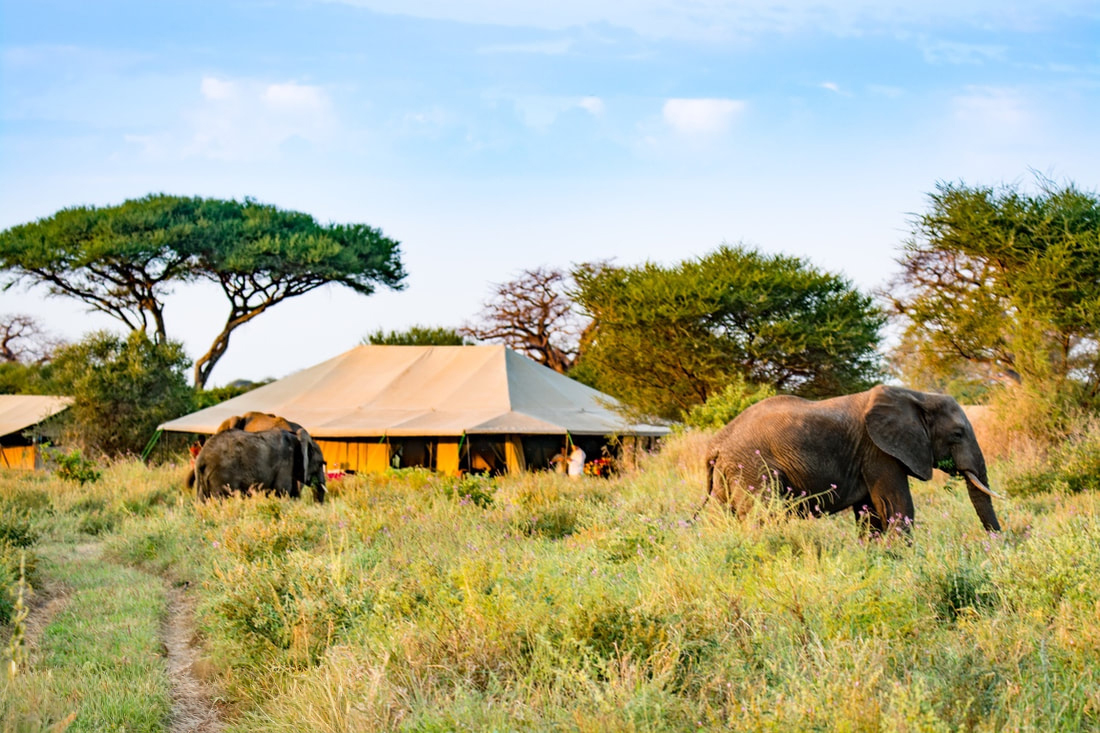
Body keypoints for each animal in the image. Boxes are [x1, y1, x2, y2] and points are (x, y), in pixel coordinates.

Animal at [704, 385, 1002, 534]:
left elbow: (870, 512)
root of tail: (716, 444)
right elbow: (896, 506)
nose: (996, 540)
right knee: (765, 516)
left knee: (722, 518)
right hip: (753, 468)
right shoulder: (878, 451)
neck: (918, 395)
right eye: (957, 434)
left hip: (729, 473)